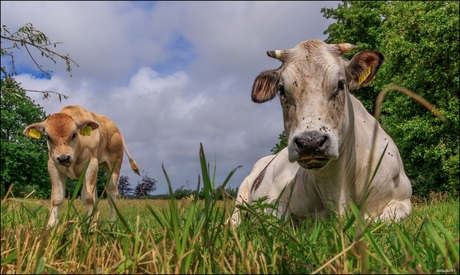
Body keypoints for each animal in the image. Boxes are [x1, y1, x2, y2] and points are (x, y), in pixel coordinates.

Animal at [230, 40, 414, 226]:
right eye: (281, 89)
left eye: (340, 84)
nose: (310, 142)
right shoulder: (274, 200)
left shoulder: (403, 200)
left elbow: (379, 220)